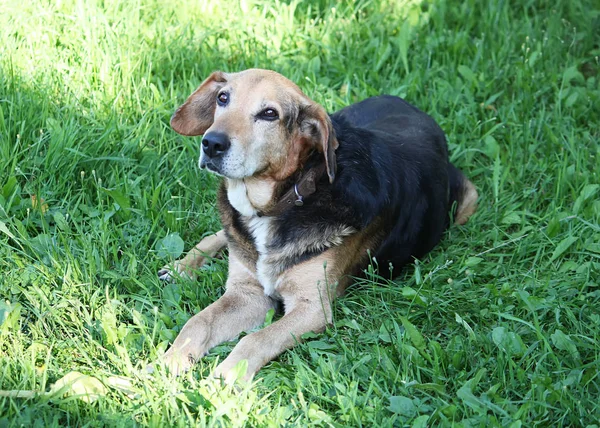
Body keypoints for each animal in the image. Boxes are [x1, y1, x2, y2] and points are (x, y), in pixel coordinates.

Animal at [157, 68, 476, 382]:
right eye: (223, 98)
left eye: (269, 113)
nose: (212, 143)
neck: (283, 199)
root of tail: (411, 106)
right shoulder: (246, 292)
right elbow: (198, 321)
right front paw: (168, 363)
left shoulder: (312, 308)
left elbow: (255, 339)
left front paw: (226, 377)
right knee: (222, 233)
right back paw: (182, 265)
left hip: (469, 200)